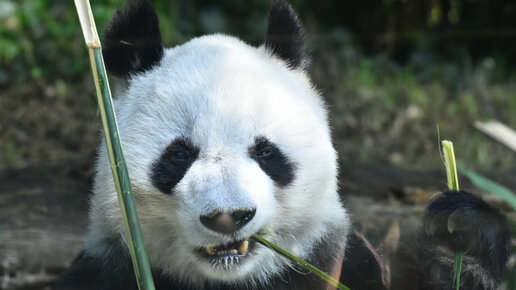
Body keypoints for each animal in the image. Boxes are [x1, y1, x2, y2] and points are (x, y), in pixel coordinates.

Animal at [57, 1, 512, 288]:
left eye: (266, 153)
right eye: (180, 155)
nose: (228, 217)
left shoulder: (335, 263)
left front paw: (463, 236)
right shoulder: (106, 268)